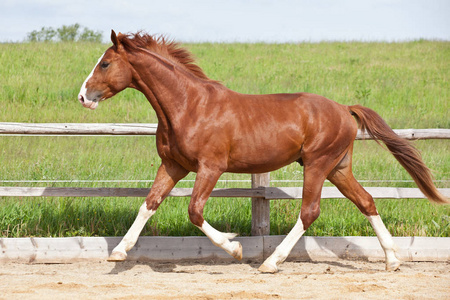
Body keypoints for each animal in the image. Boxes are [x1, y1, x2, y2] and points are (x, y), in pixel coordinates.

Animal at [77, 31, 446, 274]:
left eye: (105, 63)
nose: (83, 96)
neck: (189, 106)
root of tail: (344, 108)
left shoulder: (210, 167)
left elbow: (194, 211)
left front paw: (235, 245)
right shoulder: (173, 166)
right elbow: (149, 204)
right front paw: (119, 252)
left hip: (317, 164)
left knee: (309, 212)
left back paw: (271, 262)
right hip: (338, 168)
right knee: (366, 201)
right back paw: (392, 260)